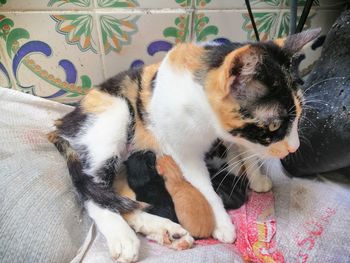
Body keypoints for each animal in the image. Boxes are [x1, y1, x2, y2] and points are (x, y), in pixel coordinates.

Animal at [48, 27, 320, 262]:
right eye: (273, 126)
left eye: (299, 117)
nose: (294, 147)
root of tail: (63, 121)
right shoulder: (183, 150)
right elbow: (204, 187)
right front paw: (222, 223)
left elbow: (246, 149)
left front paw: (257, 177)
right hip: (113, 118)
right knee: (92, 192)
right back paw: (123, 236)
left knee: (119, 197)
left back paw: (167, 231)